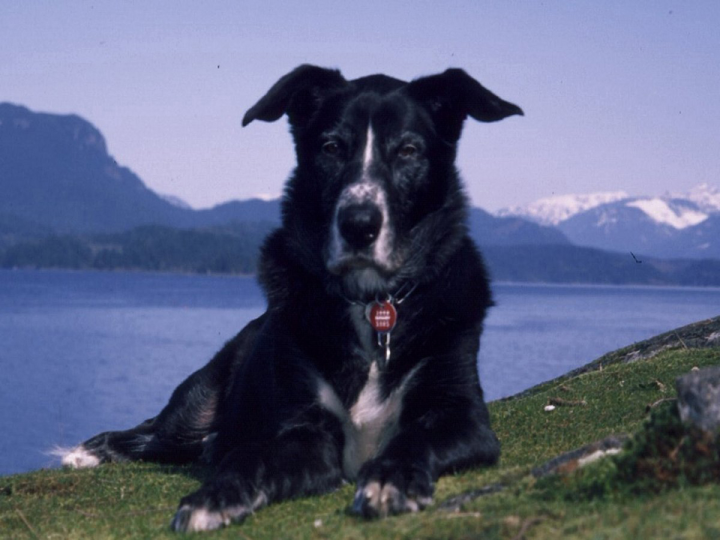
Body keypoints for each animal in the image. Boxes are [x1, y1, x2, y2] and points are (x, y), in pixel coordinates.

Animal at [62, 64, 524, 532]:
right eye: (331, 147)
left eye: (409, 150)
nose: (359, 225)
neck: (371, 303)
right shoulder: (302, 430)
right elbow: (252, 458)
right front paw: (215, 495)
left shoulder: (463, 416)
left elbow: (415, 438)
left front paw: (391, 479)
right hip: (196, 402)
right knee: (152, 431)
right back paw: (90, 451)